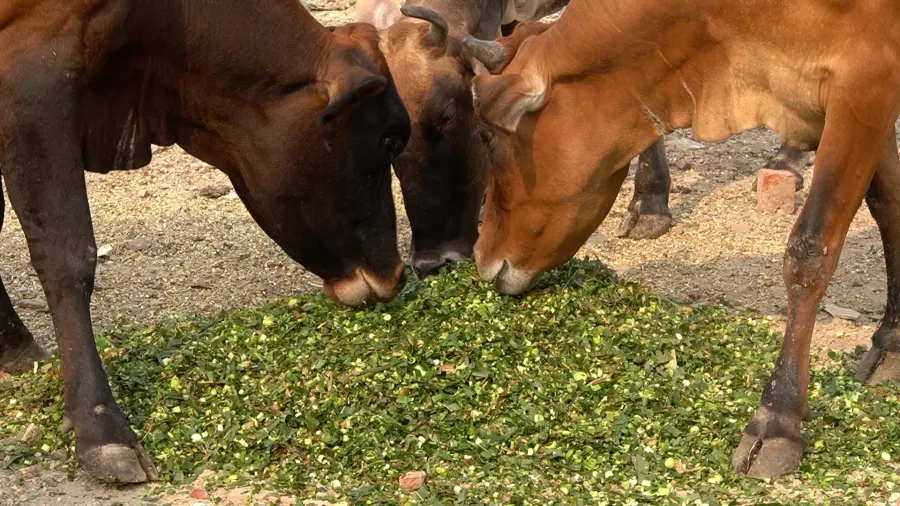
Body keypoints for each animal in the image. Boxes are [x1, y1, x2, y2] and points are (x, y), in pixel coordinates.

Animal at [0, 0, 410, 483]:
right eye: (389, 140)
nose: (396, 275)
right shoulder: (33, 72)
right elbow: (69, 254)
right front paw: (102, 430)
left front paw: (13, 347)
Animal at [465, 0, 900, 479]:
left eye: (485, 135)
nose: (482, 257)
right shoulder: (870, 91)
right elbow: (888, 206)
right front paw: (892, 342)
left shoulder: (864, 79)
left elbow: (809, 249)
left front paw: (777, 419)